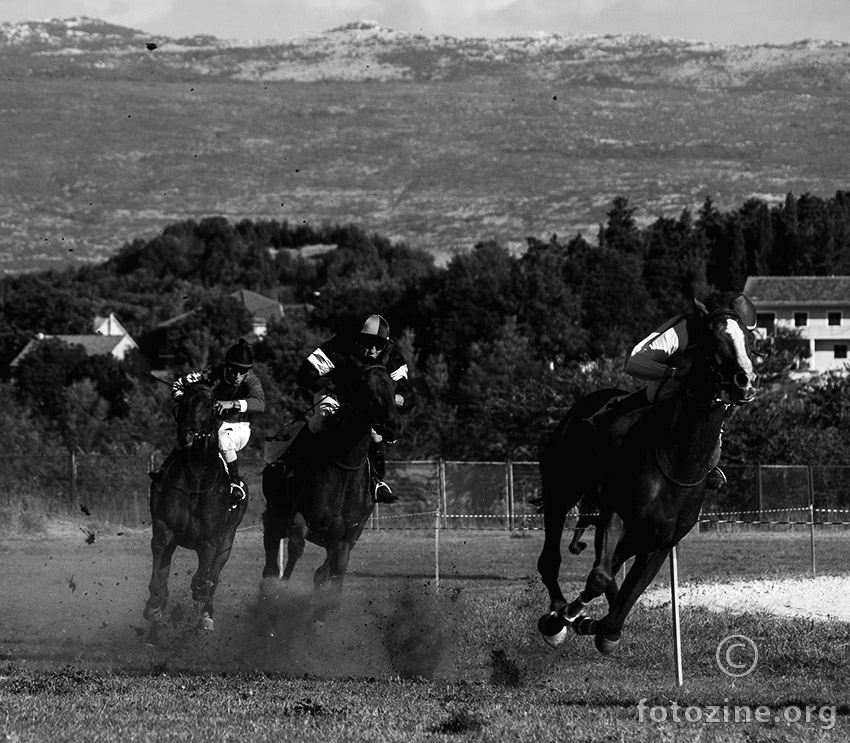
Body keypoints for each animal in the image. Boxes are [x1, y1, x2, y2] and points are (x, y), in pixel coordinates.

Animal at [142, 384, 247, 640]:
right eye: (183, 402)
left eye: (209, 404)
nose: (187, 434)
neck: (196, 478)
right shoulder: (164, 530)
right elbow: (159, 575)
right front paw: (155, 608)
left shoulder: (211, 540)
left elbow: (204, 576)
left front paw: (201, 594)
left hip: (228, 538)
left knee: (215, 574)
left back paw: (206, 615)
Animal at [260, 364, 402, 620]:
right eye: (365, 387)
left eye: (394, 385)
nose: (393, 425)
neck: (343, 473)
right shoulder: (298, 518)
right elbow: (296, 548)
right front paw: (281, 593)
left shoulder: (346, 538)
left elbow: (335, 574)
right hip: (274, 515)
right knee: (271, 563)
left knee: (321, 570)